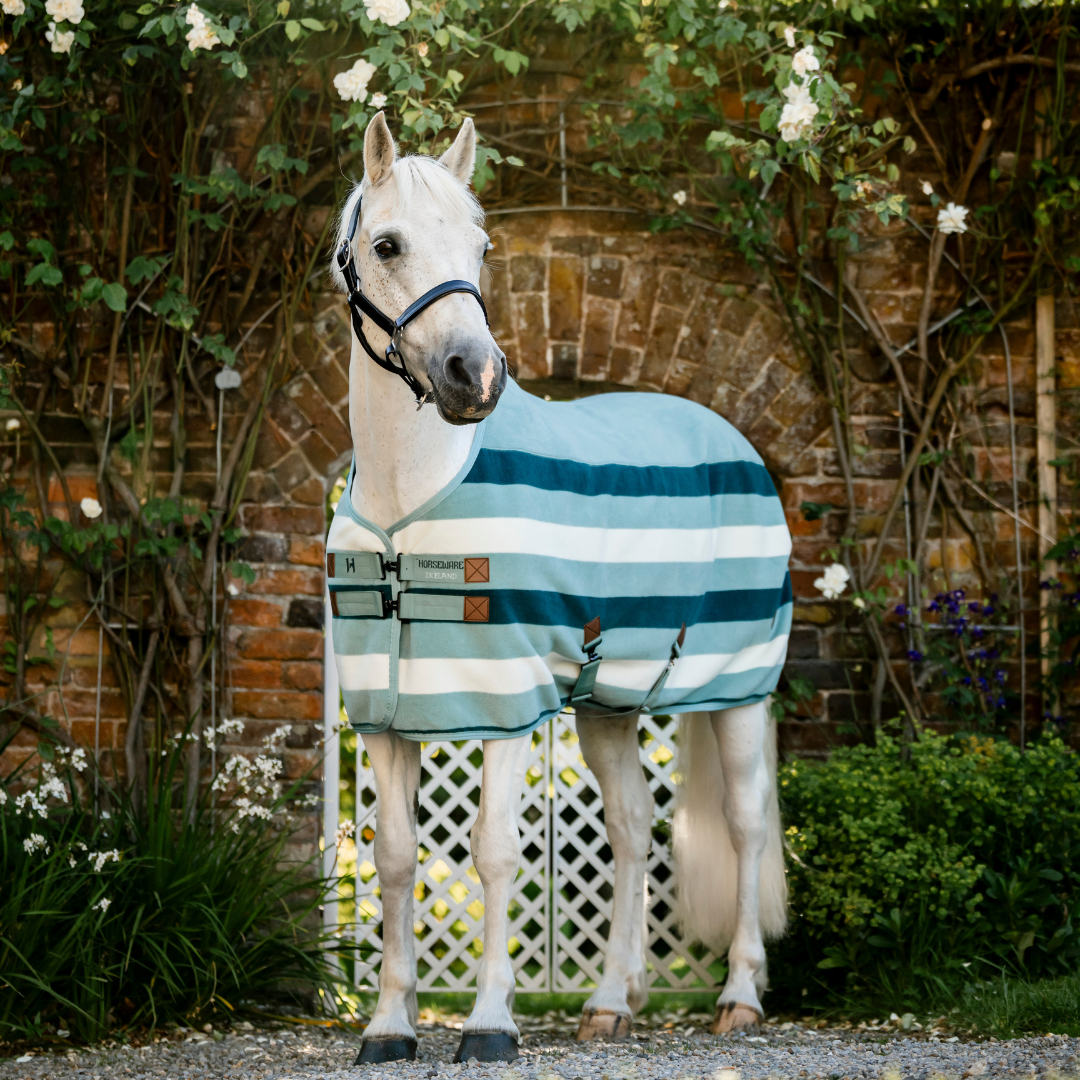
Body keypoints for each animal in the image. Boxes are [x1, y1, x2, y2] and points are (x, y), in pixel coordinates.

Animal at [328, 111, 791, 1065]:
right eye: (387, 244)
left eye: (481, 246)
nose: (475, 376)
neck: (406, 504)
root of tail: (730, 438)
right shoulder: (387, 714)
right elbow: (394, 857)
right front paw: (389, 1027)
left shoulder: (505, 701)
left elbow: (494, 851)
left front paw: (489, 1024)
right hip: (608, 705)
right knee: (633, 830)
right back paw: (613, 1001)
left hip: (737, 691)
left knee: (746, 825)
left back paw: (739, 996)